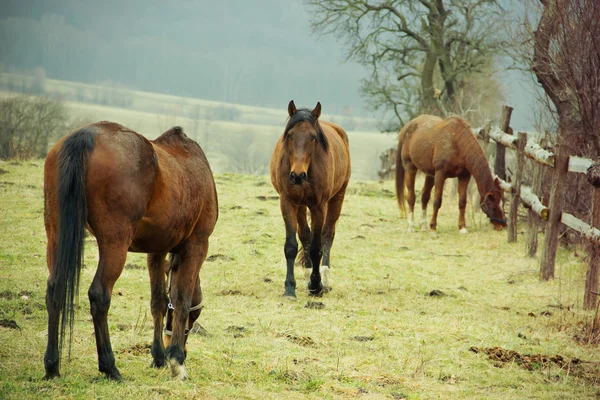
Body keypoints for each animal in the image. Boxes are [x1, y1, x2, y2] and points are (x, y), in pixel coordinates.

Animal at [44, 122, 218, 382]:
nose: (177, 347)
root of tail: (86, 135)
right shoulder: (196, 245)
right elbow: (182, 299)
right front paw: (176, 359)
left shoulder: (156, 251)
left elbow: (159, 300)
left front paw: (159, 356)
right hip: (115, 243)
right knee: (99, 295)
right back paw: (109, 366)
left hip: (56, 235)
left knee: (55, 289)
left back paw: (52, 366)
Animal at [270, 101, 352, 298]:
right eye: (290, 135)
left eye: (313, 137)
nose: (297, 175)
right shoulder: (287, 202)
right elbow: (292, 245)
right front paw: (289, 288)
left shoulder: (319, 205)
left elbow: (317, 247)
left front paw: (316, 285)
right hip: (300, 205)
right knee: (305, 235)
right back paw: (307, 274)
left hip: (337, 198)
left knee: (327, 235)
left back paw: (325, 279)